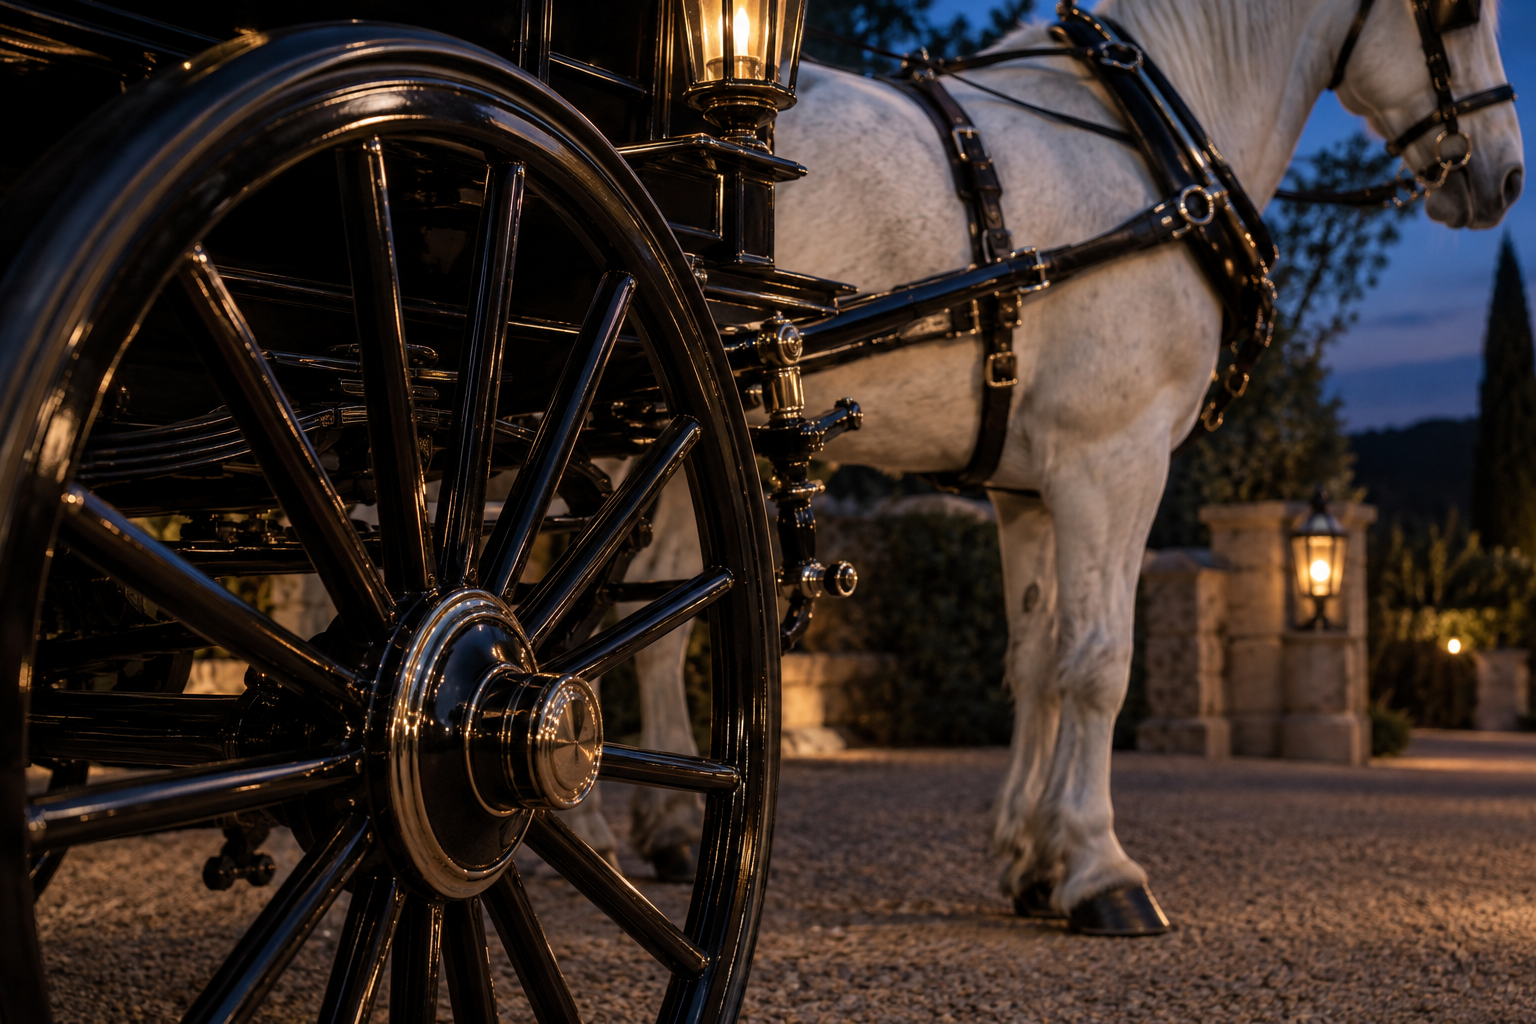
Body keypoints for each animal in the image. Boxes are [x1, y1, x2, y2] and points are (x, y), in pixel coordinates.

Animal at [582, 0, 1523, 923]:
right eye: (1461, 13)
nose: (1507, 176)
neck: (1145, 149)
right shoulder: (1115, 460)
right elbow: (1102, 661)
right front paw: (1100, 866)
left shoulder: (1028, 490)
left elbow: (1036, 661)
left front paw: (1031, 858)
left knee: (651, 613)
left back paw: (660, 826)